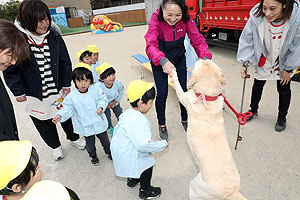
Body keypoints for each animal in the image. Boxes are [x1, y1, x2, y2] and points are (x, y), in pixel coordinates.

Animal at [171, 59, 246, 200]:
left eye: (201, 63)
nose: (203, 57)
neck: (207, 96)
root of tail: (231, 192)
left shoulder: (183, 97)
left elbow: (178, 83)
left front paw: (172, 71)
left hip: (194, 186)